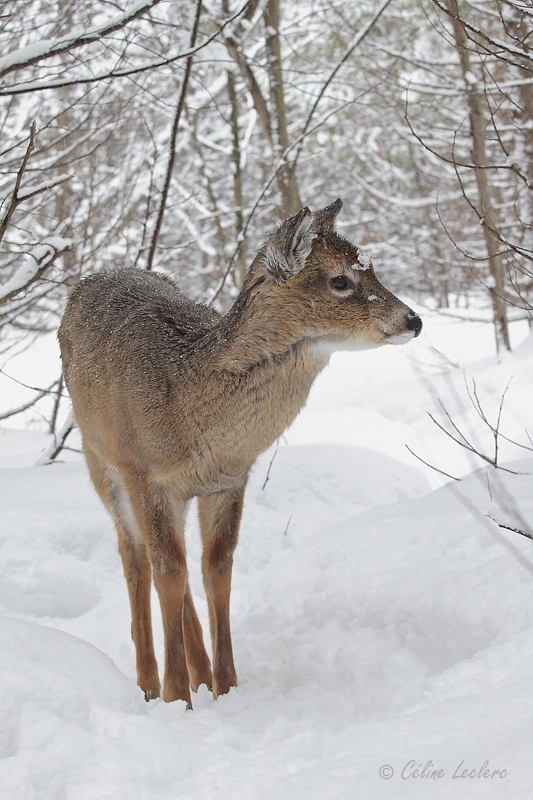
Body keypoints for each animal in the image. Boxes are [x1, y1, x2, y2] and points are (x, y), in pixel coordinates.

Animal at [58, 198, 422, 708]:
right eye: (340, 280)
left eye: (372, 267)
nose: (413, 320)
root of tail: (92, 279)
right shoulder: (146, 474)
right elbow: (167, 571)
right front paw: (176, 699)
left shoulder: (229, 481)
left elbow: (216, 570)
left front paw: (225, 688)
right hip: (100, 461)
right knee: (135, 557)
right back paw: (148, 685)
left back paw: (199, 673)